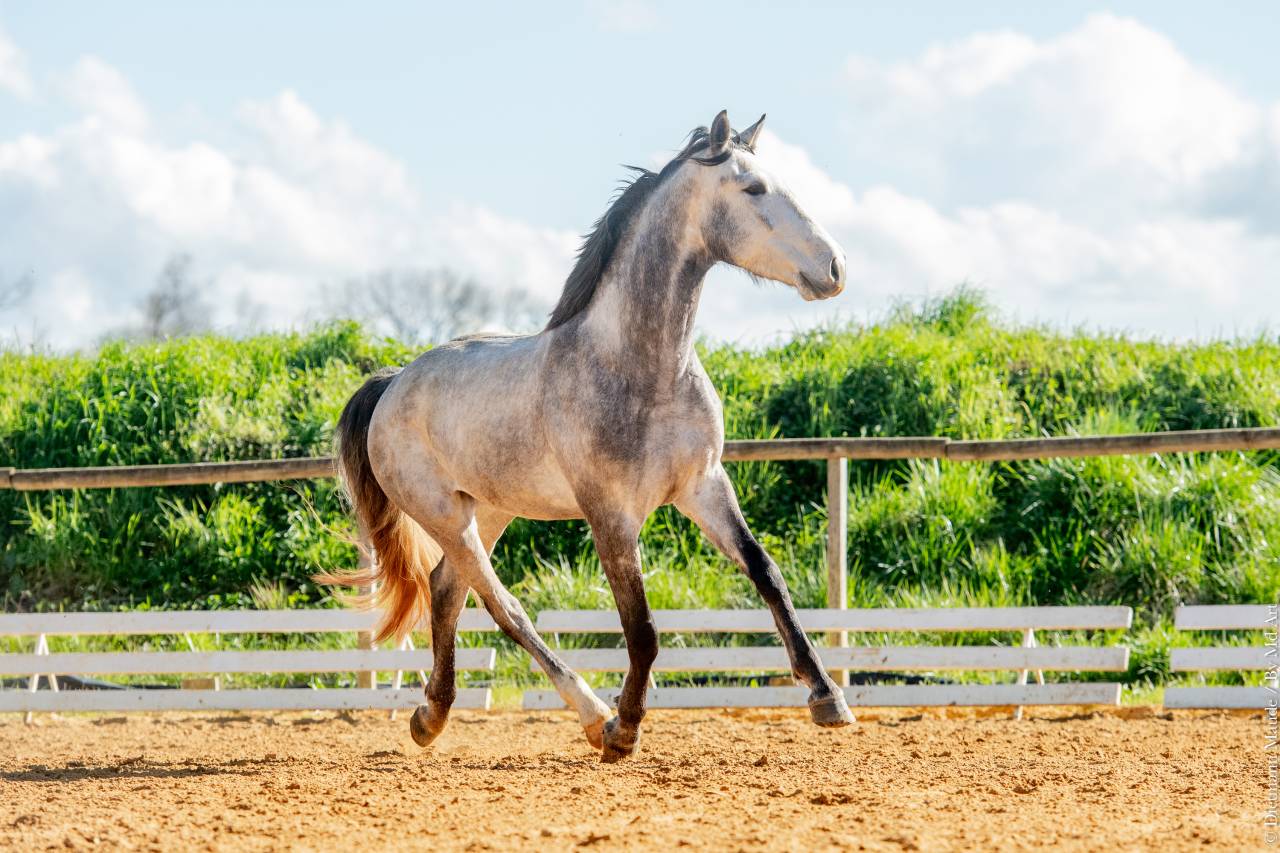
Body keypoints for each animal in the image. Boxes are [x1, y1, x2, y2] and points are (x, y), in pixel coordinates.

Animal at [319, 110, 852, 762]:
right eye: (753, 190)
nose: (834, 269)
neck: (643, 369)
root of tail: (393, 383)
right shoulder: (610, 513)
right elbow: (642, 628)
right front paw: (625, 729)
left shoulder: (703, 486)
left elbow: (767, 574)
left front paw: (827, 697)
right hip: (443, 512)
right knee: (503, 606)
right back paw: (592, 715)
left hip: (489, 509)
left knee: (446, 590)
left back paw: (431, 716)